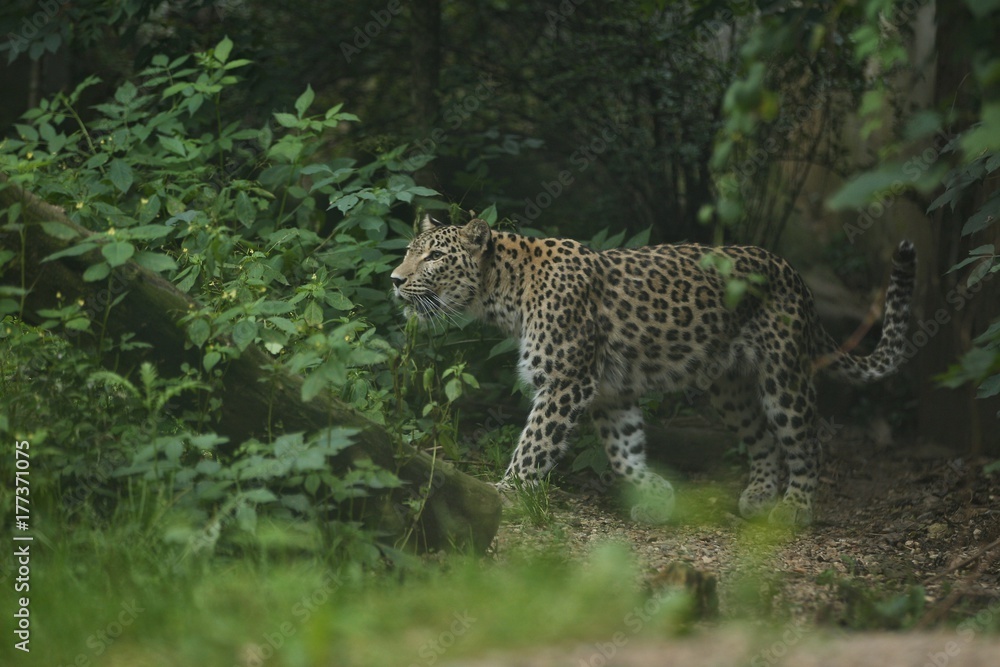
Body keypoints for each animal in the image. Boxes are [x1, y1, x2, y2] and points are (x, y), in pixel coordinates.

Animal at [390, 216, 916, 526]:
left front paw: (503, 494)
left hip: (783, 376)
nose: (394, 280)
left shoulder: (566, 383)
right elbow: (624, 451)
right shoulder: (608, 392)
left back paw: (796, 507)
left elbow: (533, 447)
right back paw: (759, 495)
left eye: (434, 256)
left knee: (805, 440)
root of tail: (794, 273)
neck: (505, 294)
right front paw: (658, 494)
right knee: (764, 440)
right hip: (729, 388)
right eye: (410, 249)